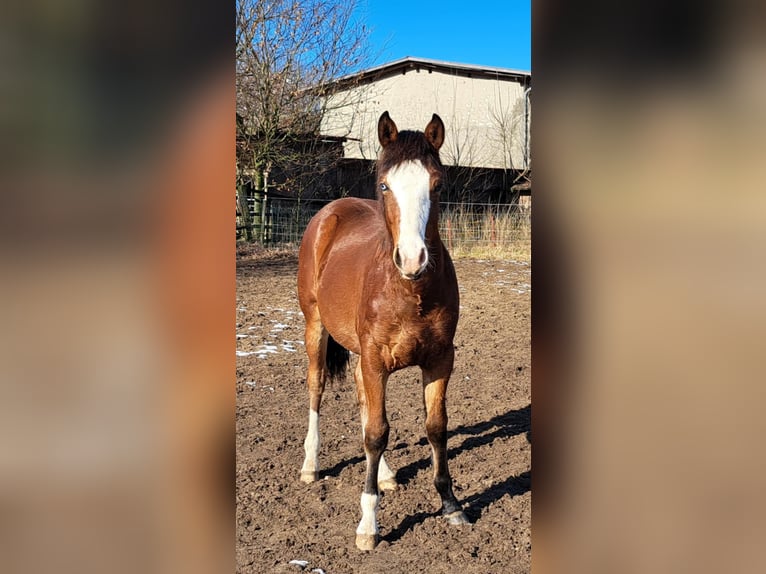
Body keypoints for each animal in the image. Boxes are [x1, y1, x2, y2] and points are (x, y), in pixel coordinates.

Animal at [298, 113, 468, 552]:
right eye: (385, 185)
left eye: (437, 184)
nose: (412, 259)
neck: (410, 292)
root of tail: (331, 213)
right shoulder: (376, 360)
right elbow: (376, 433)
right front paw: (368, 525)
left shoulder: (440, 361)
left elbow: (435, 427)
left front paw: (451, 504)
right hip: (315, 328)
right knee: (317, 388)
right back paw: (310, 466)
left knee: (362, 398)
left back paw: (388, 475)